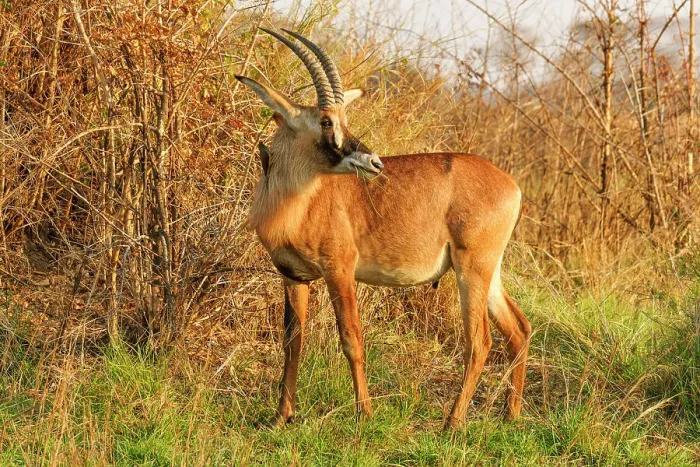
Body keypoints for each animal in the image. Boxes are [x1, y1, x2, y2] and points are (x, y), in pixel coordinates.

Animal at [236, 28, 531, 430]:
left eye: (342, 118)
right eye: (326, 121)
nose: (374, 162)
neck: (299, 199)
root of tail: (511, 185)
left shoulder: (340, 270)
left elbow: (352, 339)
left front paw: (365, 413)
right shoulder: (293, 276)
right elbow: (292, 342)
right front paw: (282, 416)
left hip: (472, 270)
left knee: (480, 341)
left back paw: (452, 424)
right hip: (490, 274)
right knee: (518, 329)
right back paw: (511, 415)